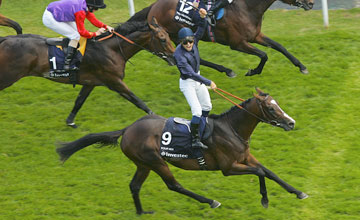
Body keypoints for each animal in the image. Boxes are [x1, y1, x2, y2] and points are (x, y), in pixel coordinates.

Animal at [0, 7, 174, 128]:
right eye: (163, 39)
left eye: (167, 35)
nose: (174, 57)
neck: (111, 49)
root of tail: (6, 39)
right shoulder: (114, 81)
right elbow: (138, 101)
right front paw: (157, 118)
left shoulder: (91, 82)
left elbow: (79, 101)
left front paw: (70, 122)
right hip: (7, 76)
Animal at [57, 88, 308, 215]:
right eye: (271, 109)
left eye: (278, 104)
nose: (291, 123)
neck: (232, 129)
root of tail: (127, 129)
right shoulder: (228, 168)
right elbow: (260, 173)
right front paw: (264, 200)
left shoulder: (245, 157)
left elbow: (269, 171)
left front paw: (299, 192)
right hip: (156, 161)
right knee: (174, 185)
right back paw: (210, 201)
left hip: (143, 164)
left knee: (135, 186)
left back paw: (141, 213)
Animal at [148, 0, 314, 76]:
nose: (312, 3)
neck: (246, 7)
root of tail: (153, 7)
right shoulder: (237, 43)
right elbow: (264, 55)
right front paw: (253, 71)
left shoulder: (256, 36)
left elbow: (279, 46)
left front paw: (301, 66)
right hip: (178, 36)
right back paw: (227, 70)